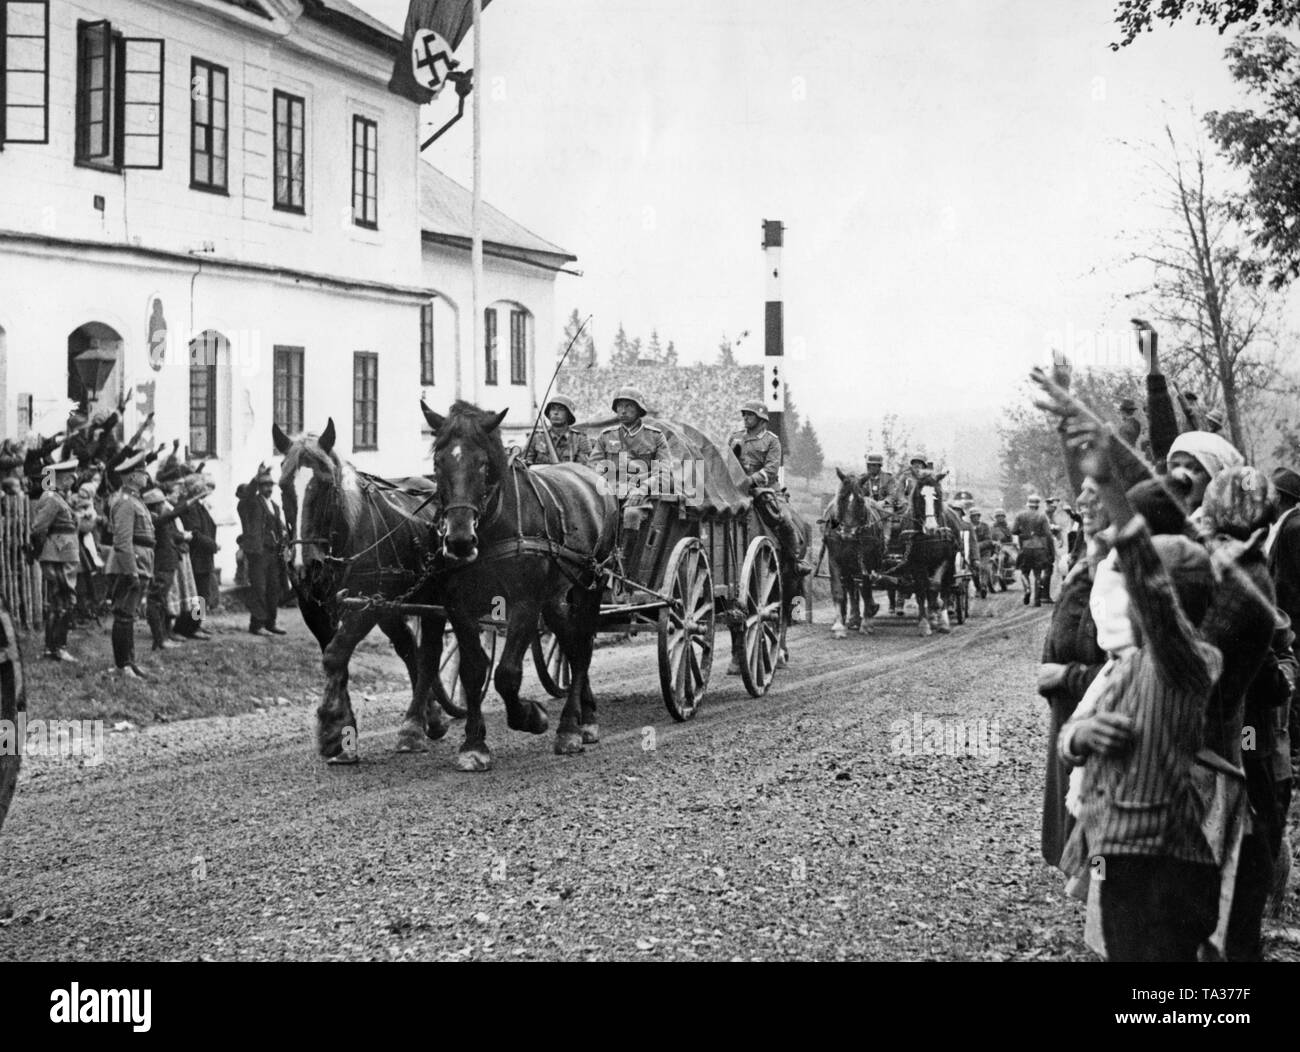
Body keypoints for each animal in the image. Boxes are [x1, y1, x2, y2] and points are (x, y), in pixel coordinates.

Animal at [273, 418, 462, 764]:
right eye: (282, 486)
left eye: (326, 485)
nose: (304, 565)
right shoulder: (314, 607)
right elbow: (334, 657)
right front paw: (342, 730)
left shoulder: (366, 605)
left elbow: (336, 654)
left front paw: (332, 729)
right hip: (396, 604)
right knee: (409, 647)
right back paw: (430, 716)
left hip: (430, 600)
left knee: (429, 653)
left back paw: (413, 727)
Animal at [418, 397, 616, 769]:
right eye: (438, 463)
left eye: (483, 465)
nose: (459, 541)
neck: (494, 525)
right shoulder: (458, 606)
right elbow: (473, 670)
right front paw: (474, 744)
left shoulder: (525, 603)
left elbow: (507, 674)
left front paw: (531, 716)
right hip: (555, 596)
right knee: (570, 643)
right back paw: (586, 714)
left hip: (591, 584)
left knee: (582, 646)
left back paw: (572, 727)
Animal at [821, 470, 883, 637]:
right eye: (841, 498)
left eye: (860, 501)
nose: (848, 533)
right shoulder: (834, 559)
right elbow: (838, 590)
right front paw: (838, 626)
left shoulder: (866, 561)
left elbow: (866, 588)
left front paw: (867, 624)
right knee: (850, 586)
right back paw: (853, 618)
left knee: (862, 587)